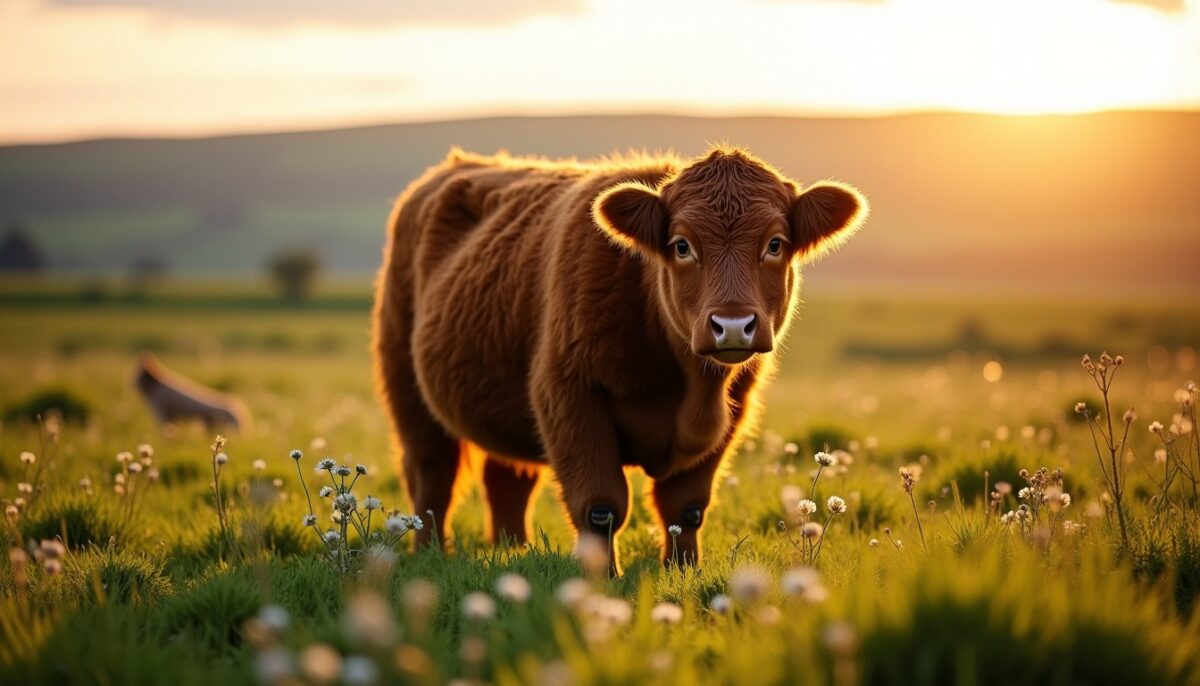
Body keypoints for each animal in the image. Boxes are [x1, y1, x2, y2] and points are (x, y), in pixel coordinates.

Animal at [373, 146, 867, 572]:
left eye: (776, 243)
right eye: (682, 245)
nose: (731, 325)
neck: (691, 385)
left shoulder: (731, 416)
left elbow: (686, 508)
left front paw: (683, 570)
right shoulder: (567, 396)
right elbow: (600, 506)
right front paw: (602, 580)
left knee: (507, 481)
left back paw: (513, 552)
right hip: (407, 389)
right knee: (432, 478)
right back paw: (429, 555)